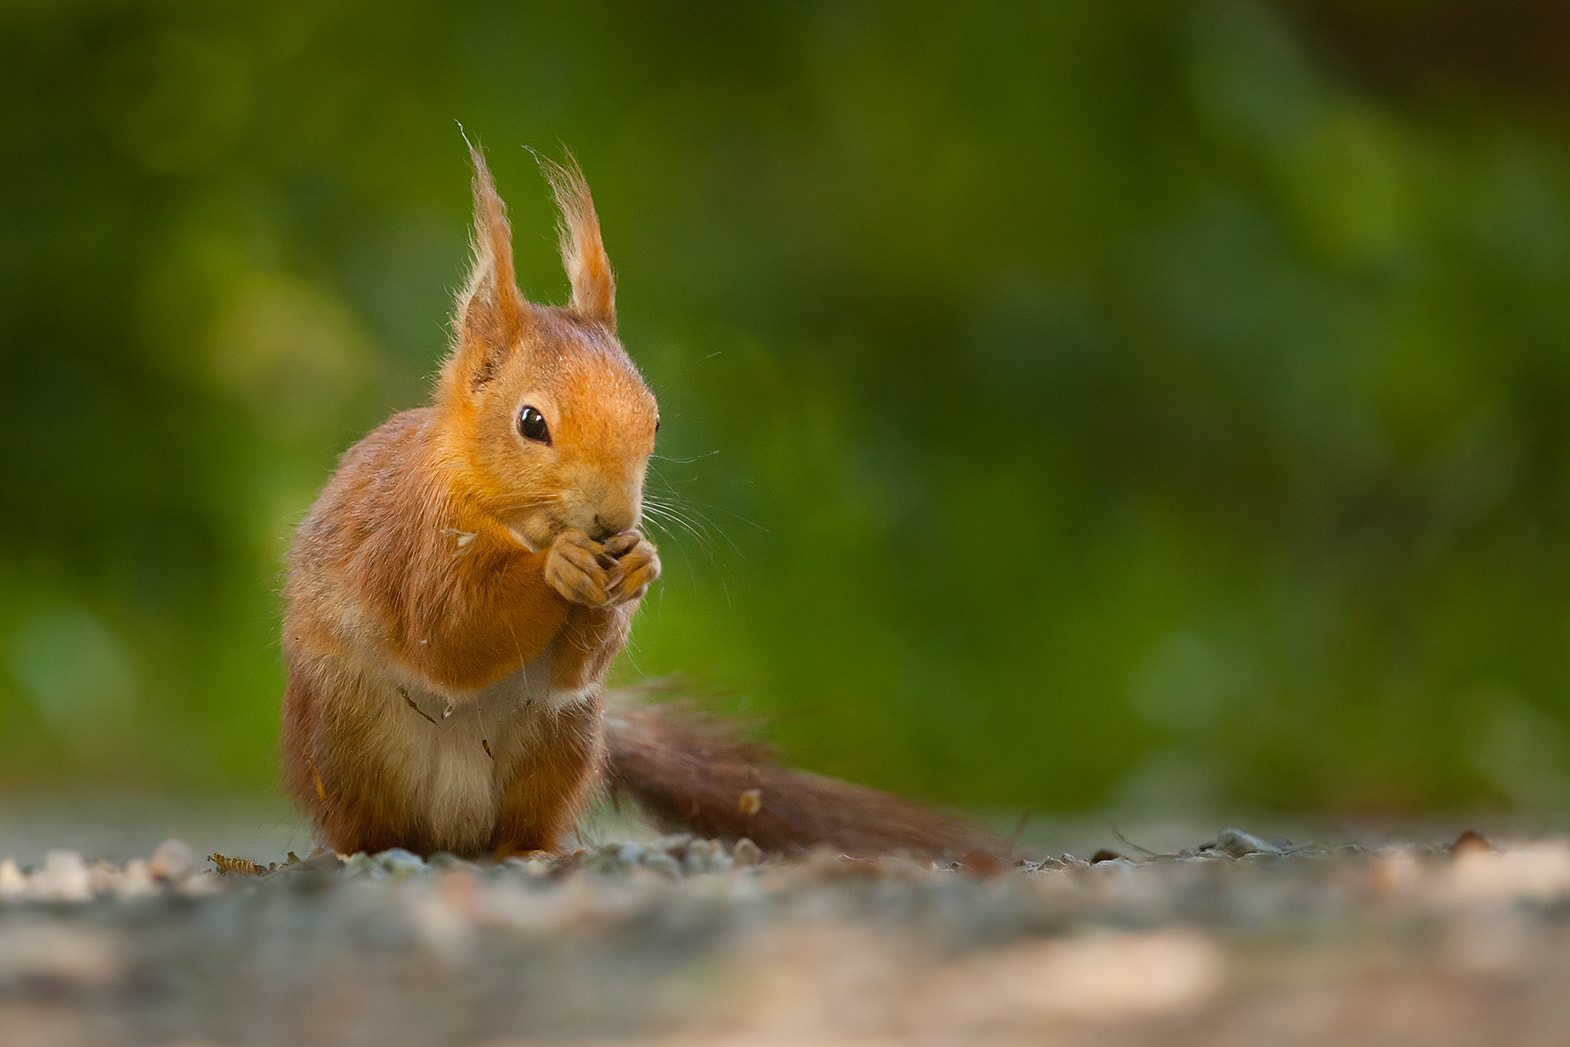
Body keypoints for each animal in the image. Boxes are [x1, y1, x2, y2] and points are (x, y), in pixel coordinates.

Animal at [279, 145, 1004, 860]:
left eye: (654, 419)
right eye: (530, 423)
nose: (615, 521)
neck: (511, 516)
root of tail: (451, 836)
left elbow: (572, 666)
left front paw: (637, 566)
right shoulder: (416, 539)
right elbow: (453, 633)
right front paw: (560, 568)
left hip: (562, 739)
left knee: (527, 814)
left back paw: (529, 851)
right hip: (348, 741)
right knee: (368, 821)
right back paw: (376, 847)